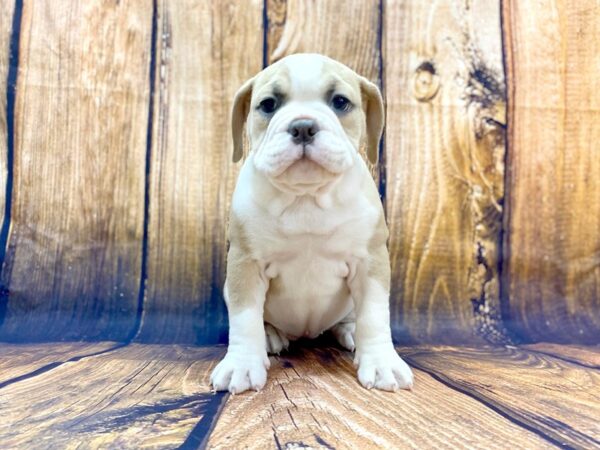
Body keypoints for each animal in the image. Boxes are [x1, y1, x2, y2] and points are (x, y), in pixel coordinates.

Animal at [213, 53, 414, 394]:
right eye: (268, 104)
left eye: (340, 102)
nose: (303, 126)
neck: (306, 197)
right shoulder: (245, 264)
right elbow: (244, 318)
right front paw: (241, 364)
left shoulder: (370, 262)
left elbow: (374, 314)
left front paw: (381, 361)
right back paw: (270, 335)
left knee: (352, 316)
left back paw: (350, 330)